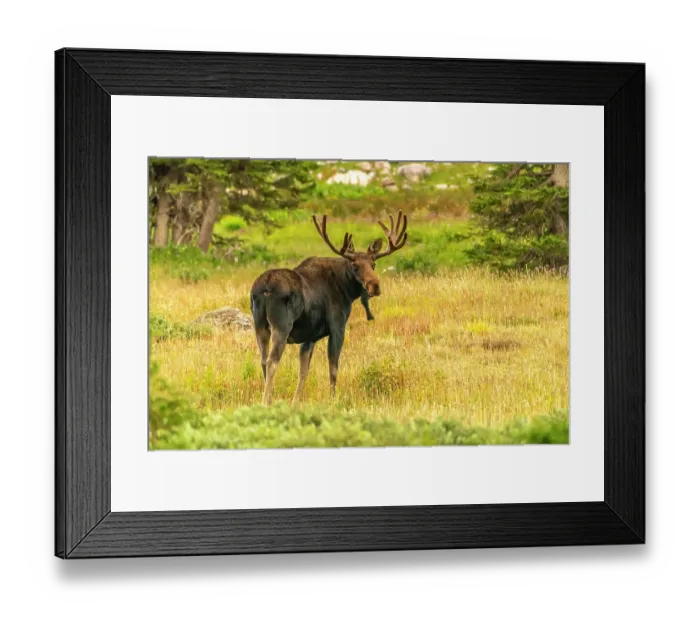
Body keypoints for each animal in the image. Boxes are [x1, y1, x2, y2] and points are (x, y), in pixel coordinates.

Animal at [250, 211, 408, 406]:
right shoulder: (337, 327)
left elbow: (303, 371)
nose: (374, 286)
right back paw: (267, 401)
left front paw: (295, 403)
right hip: (281, 326)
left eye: (374, 264)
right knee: (272, 361)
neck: (346, 290)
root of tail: (263, 288)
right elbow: (333, 368)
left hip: (259, 326)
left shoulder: (310, 337)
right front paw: (333, 400)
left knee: (263, 361)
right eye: (355, 266)